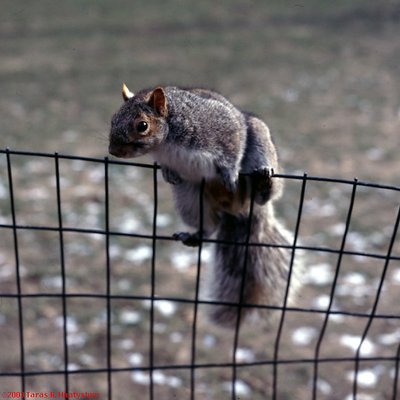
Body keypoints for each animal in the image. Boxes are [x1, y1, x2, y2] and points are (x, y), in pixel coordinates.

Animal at [109, 84, 300, 328]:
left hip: (260, 142)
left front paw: (230, 174)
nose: (113, 151)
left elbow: (232, 153)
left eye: (142, 125)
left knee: (266, 195)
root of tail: (238, 211)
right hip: (189, 198)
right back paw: (196, 236)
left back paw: (264, 185)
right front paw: (167, 172)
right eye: (113, 118)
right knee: (210, 225)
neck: (166, 142)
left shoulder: (223, 129)